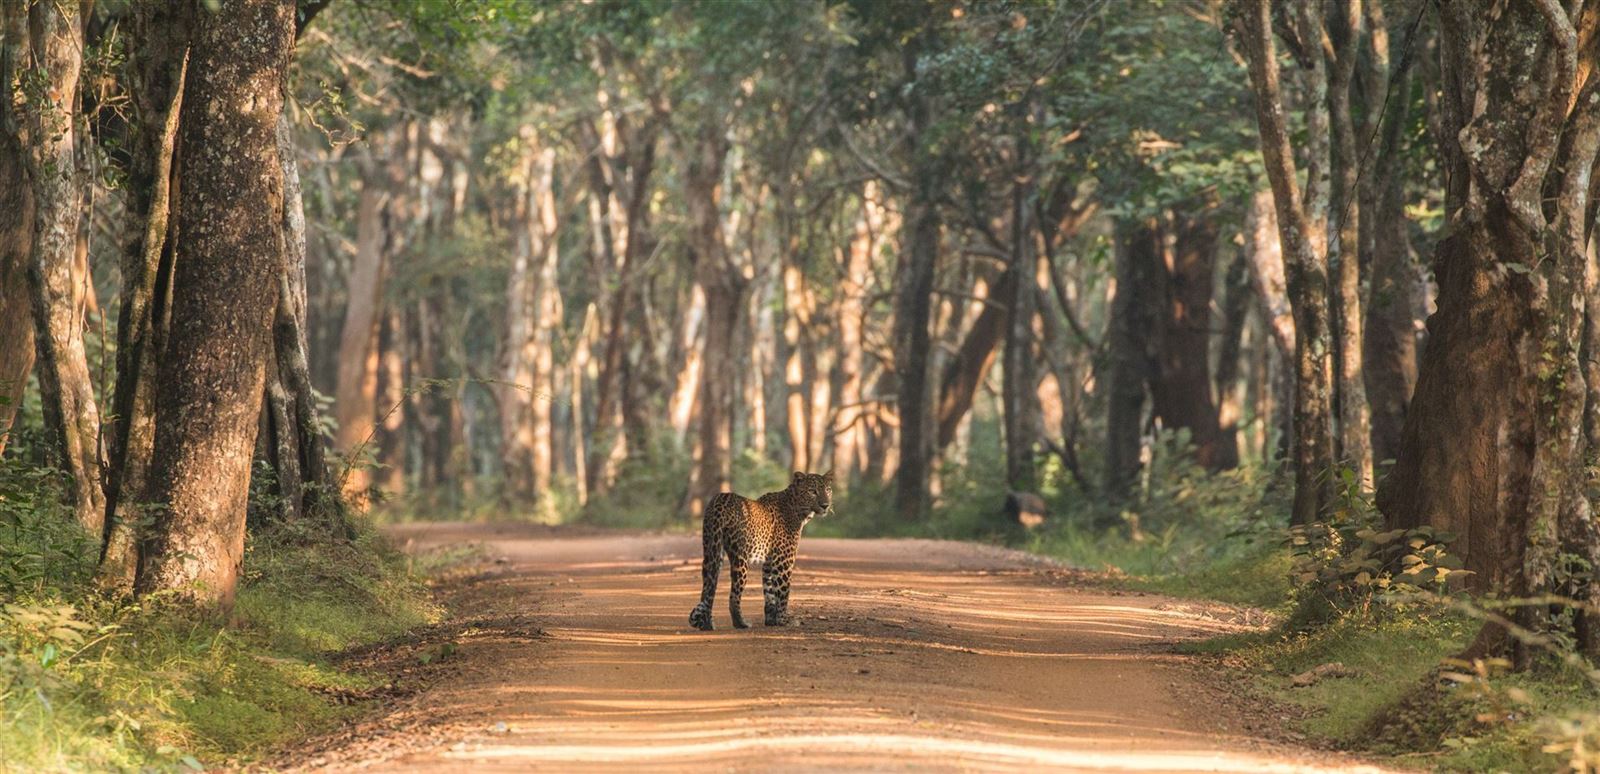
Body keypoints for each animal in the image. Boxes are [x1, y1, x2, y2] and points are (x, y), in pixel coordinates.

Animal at [688, 470, 834, 631]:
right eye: (812, 491)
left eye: (827, 490)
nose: (825, 505)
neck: (798, 509)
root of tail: (720, 499)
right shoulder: (783, 560)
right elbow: (783, 592)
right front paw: (784, 620)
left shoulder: (769, 562)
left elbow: (769, 592)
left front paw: (771, 620)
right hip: (740, 557)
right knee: (734, 595)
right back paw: (741, 623)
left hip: (711, 549)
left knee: (708, 589)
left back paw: (706, 623)